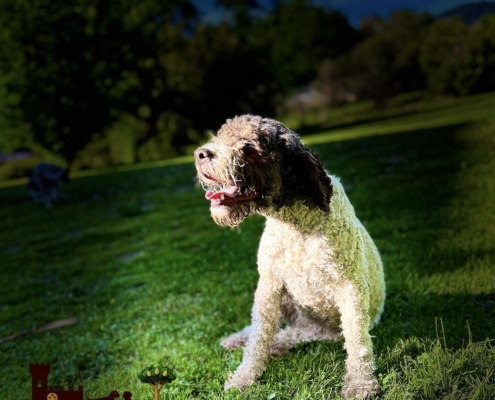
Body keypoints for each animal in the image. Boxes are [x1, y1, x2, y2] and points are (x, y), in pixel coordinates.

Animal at [195, 114, 388, 398]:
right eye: (220, 137)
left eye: (248, 147)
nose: (200, 154)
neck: (296, 226)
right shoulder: (269, 286)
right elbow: (258, 337)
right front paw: (244, 376)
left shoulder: (350, 289)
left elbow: (357, 341)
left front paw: (361, 384)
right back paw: (238, 340)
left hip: (321, 329)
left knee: (291, 335)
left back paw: (277, 346)